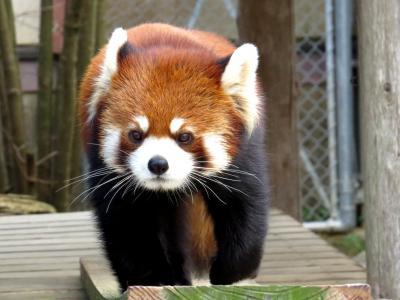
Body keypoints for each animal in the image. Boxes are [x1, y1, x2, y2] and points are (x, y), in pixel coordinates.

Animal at [78, 22, 268, 290]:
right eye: (136, 134)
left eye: (185, 137)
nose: (158, 164)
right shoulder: (105, 168)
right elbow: (126, 224)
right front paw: (155, 279)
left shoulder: (243, 156)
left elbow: (244, 208)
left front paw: (232, 276)